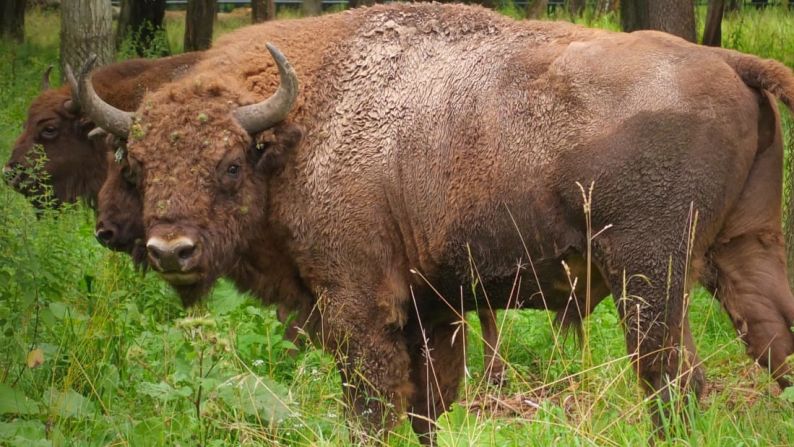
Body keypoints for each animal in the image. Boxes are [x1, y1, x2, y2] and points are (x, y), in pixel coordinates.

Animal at [74, 3, 792, 442]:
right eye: (136, 162)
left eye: (228, 164)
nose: (171, 248)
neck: (300, 129)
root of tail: (728, 60)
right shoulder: (431, 309)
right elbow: (428, 406)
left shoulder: (359, 306)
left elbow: (370, 408)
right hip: (743, 250)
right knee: (772, 345)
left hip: (648, 279)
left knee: (675, 384)